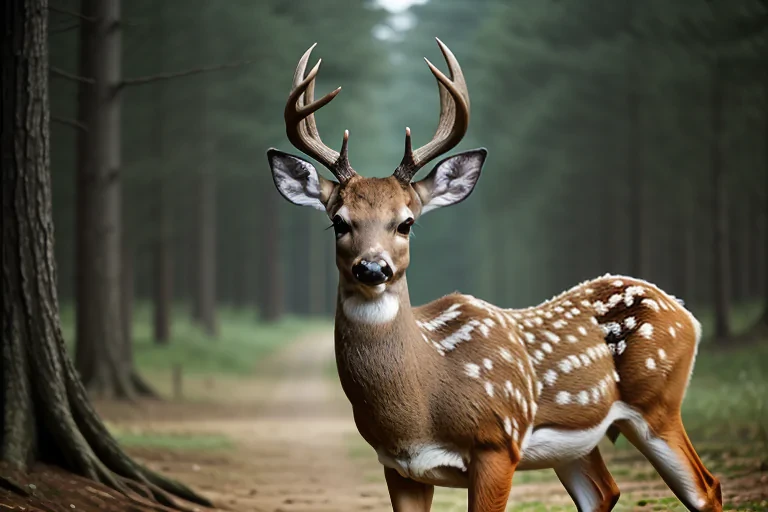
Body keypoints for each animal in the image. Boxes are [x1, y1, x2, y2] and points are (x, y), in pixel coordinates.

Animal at [266, 39, 723, 512]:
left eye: (406, 223)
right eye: (338, 222)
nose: (372, 267)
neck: (419, 405)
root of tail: (686, 313)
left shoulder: (498, 441)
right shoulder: (398, 465)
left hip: (658, 402)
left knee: (707, 487)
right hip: (578, 446)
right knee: (604, 492)